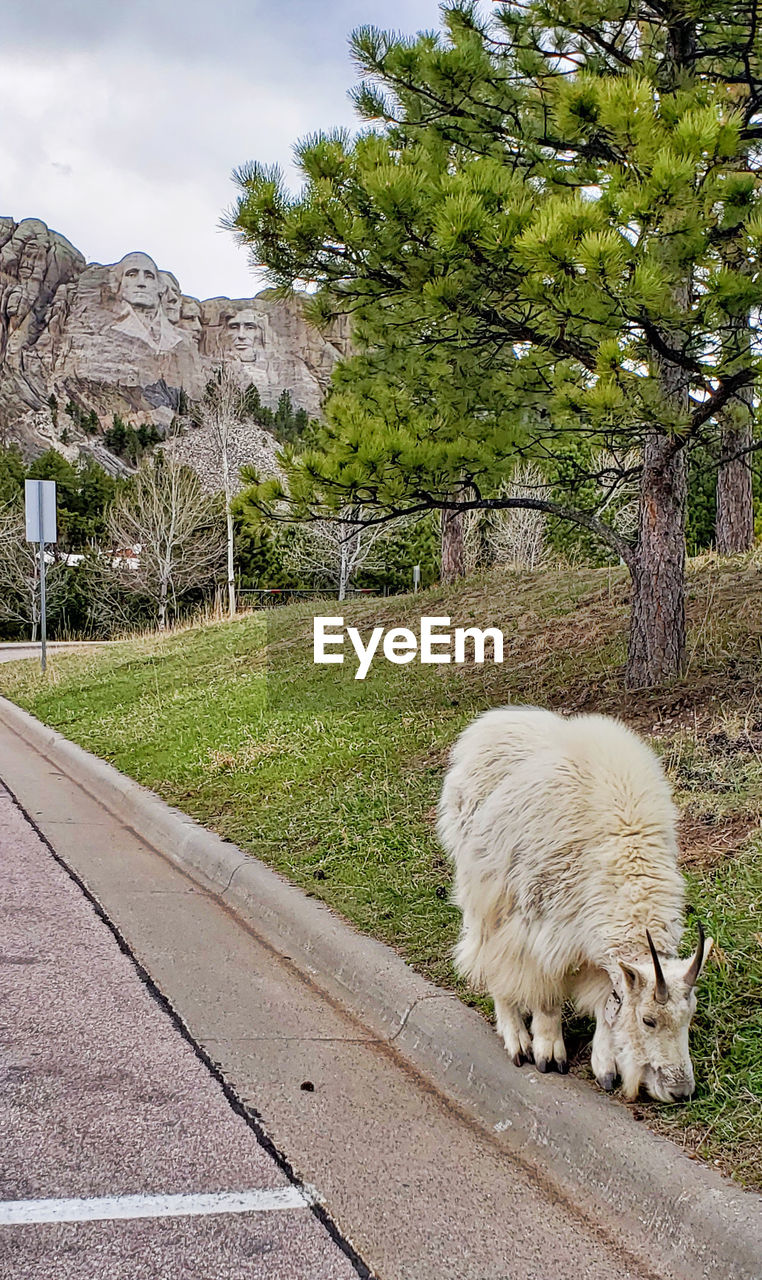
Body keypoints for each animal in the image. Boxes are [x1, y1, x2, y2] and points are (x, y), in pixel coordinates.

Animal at [437, 701, 712, 1100]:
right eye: (649, 1020)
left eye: (689, 1016)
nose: (680, 1090)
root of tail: (490, 722)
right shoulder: (539, 928)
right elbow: (546, 995)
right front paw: (548, 1053)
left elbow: (606, 1003)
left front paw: (606, 1067)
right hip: (483, 886)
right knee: (491, 959)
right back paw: (516, 1038)